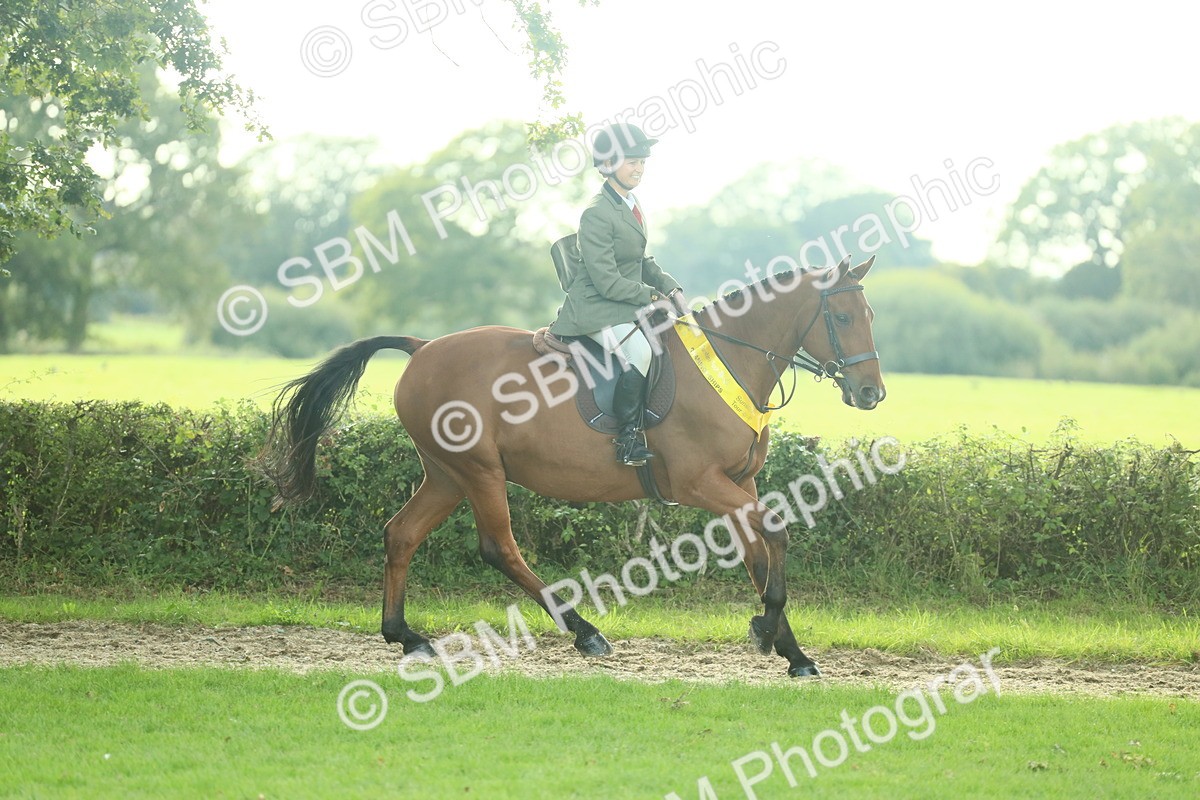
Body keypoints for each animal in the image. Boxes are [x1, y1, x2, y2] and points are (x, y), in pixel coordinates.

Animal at [259, 254, 885, 677]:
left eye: (868, 313)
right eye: (843, 317)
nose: (871, 393)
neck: (730, 358)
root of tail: (423, 348)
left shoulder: (739, 482)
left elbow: (759, 556)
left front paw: (789, 648)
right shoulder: (699, 483)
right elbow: (775, 532)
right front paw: (771, 631)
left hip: (445, 474)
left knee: (401, 534)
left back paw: (405, 635)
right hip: (480, 471)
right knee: (498, 547)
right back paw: (584, 632)